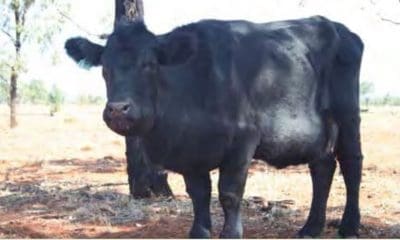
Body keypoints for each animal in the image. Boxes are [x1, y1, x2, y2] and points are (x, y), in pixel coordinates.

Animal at [65, 15, 362, 238]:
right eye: (104, 67)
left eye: (149, 64)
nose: (118, 109)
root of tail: (336, 26)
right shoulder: (189, 150)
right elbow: (199, 194)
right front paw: (199, 232)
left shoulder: (243, 140)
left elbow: (229, 193)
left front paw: (231, 234)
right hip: (319, 131)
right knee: (322, 167)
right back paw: (311, 227)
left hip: (347, 113)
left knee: (351, 164)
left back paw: (349, 225)